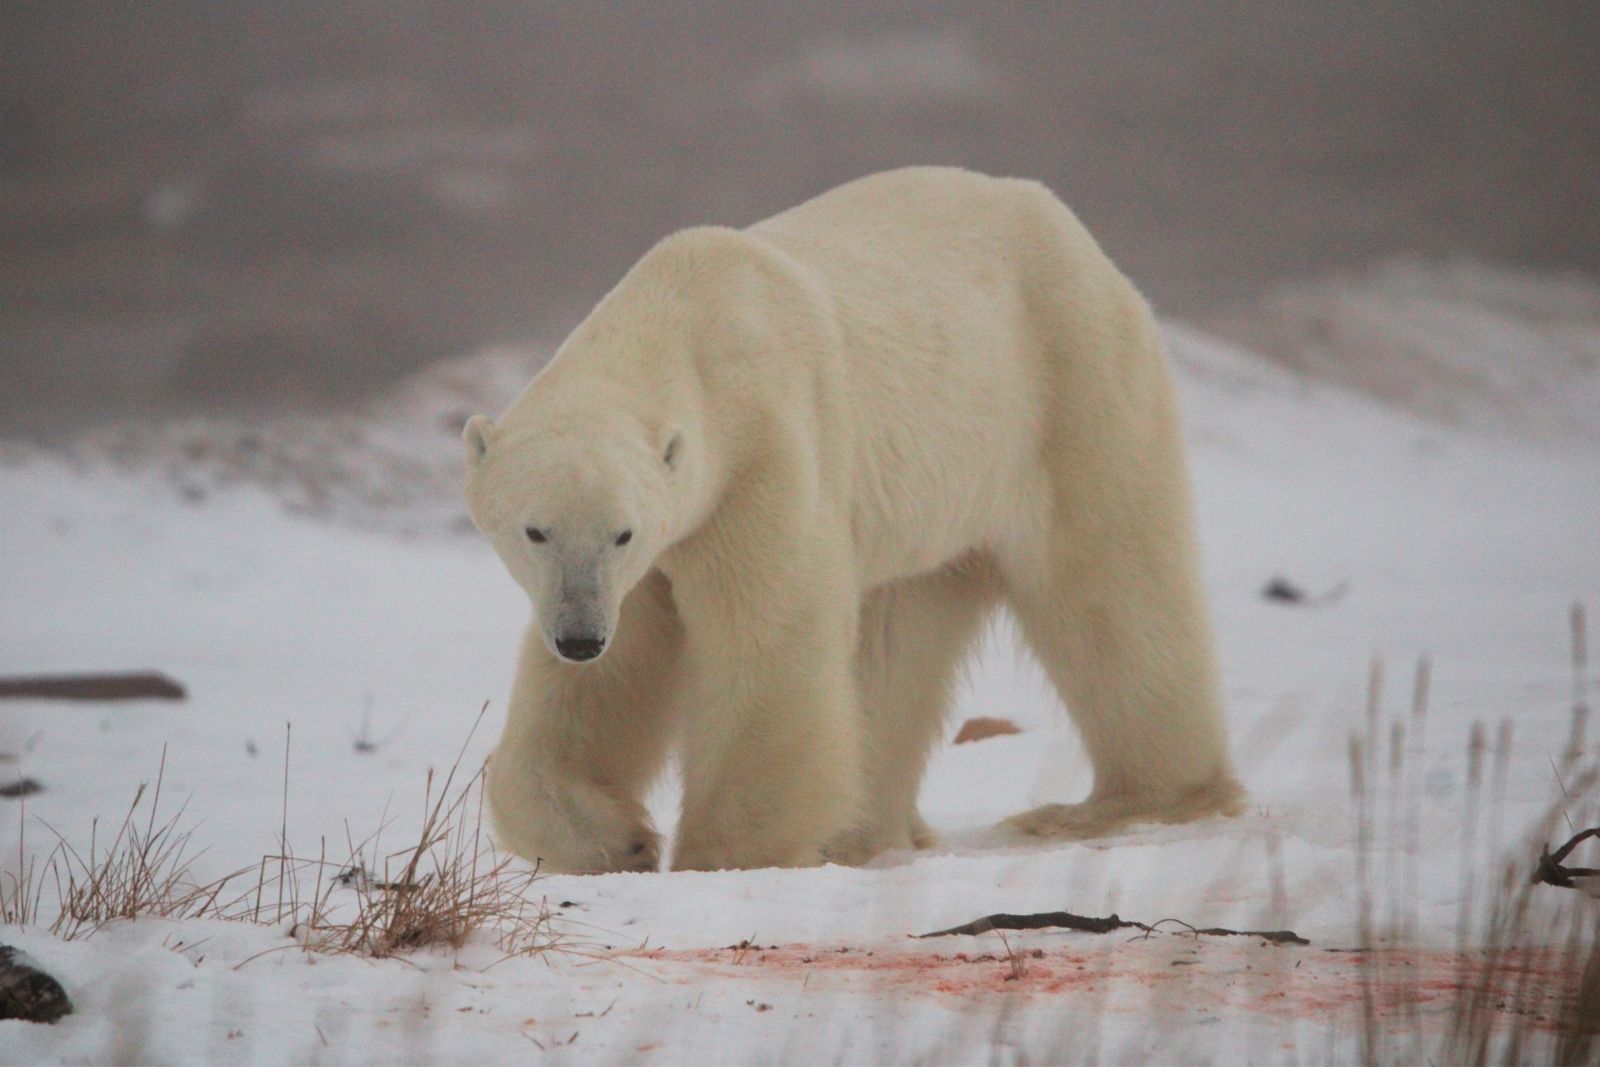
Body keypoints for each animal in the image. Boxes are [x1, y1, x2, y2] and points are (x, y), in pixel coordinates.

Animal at [463, 166, 1245, 873]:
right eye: (535, 531)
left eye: (621, 532)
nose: (579, 636)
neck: (687, 316)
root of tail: (1077, 233)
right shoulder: (650, 559)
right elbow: (610, 679)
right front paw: (610, 838)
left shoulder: (764, 454)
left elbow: (770, 639)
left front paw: (724, 857)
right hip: (931, 507)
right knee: (897, 642)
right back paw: (868, 832)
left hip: (1068, 388)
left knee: (1110, 592)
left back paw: (1126, 801)